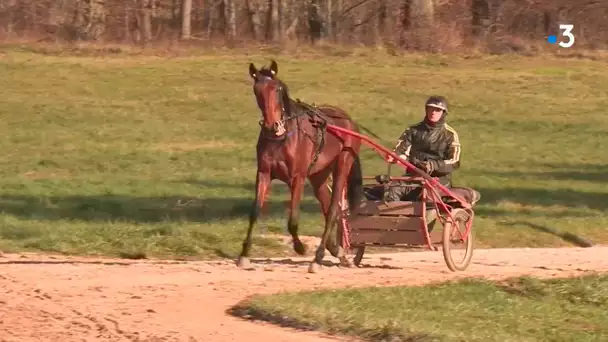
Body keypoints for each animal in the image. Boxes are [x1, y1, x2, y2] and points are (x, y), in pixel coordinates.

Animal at [236, 59, 360, 272]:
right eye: (257, 90)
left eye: (276, 88)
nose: (271, 125)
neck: (281, 136)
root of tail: (348, 120)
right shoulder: (264, 173)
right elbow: (255, 212)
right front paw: (244, 254)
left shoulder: (297, 177)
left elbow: (293, 219)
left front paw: (300, 246)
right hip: (319, 174)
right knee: (329, 207)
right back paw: (337, 250)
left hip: (343, 163)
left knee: (333, 210)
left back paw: (318, 258)